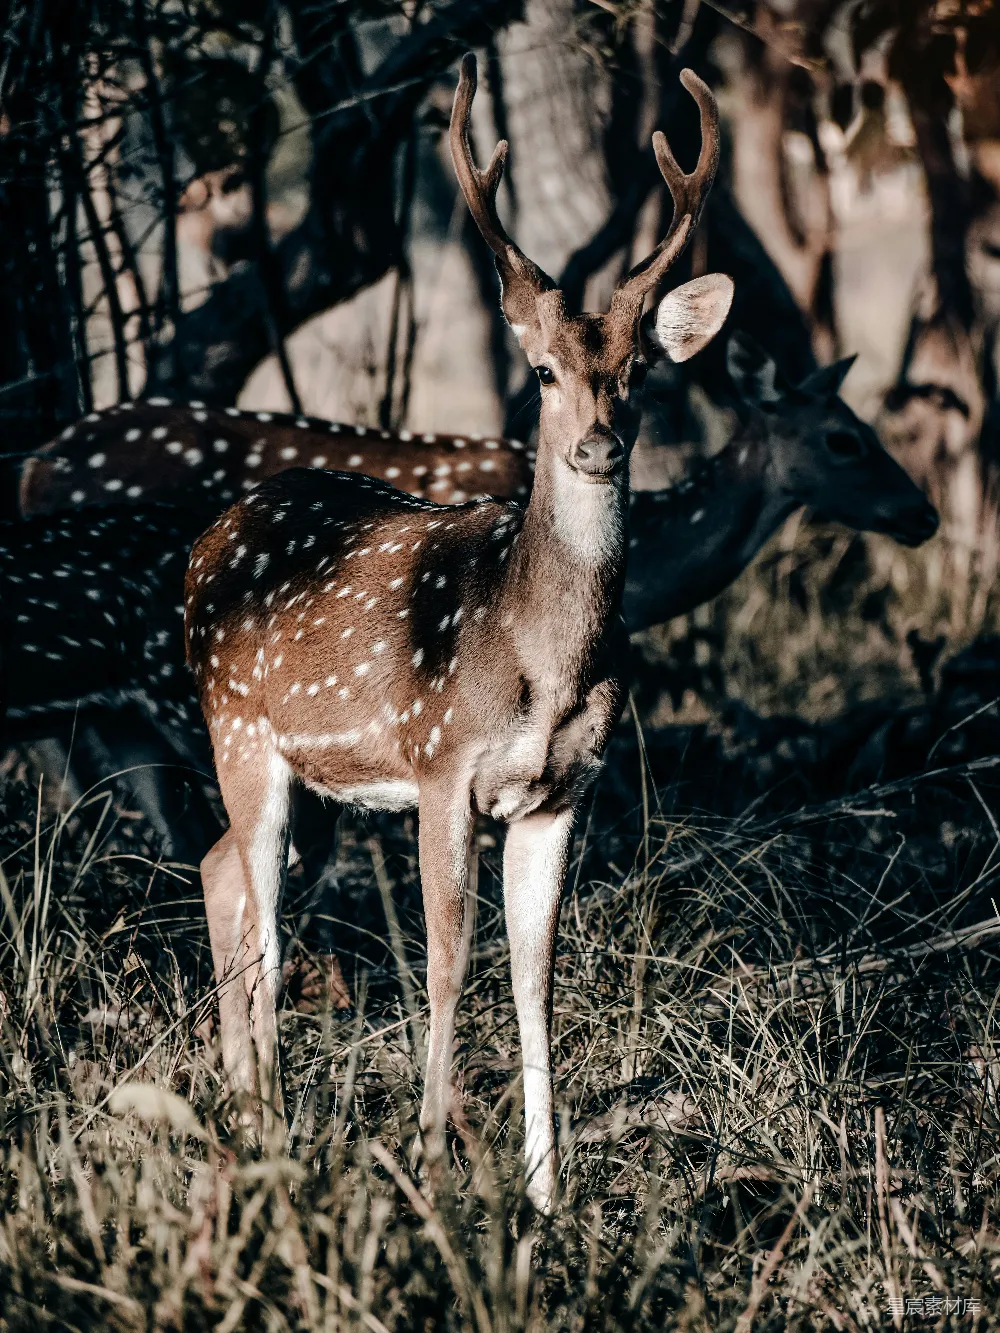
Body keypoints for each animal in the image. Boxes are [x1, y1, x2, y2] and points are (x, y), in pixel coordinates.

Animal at [182, 53, 731, 1210]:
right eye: (543, 371)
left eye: (641, 370)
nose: (600, 445)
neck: (540, 662)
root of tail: (203, 543)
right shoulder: (443, 768)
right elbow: (446, 957)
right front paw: (434, 1157)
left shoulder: (563, 790)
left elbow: (535, 974)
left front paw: (547, 1193)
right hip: (238, 727)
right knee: (260, 914)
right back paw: (269, 1127)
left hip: (313, 778)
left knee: (217, 871)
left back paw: (248, 1110)